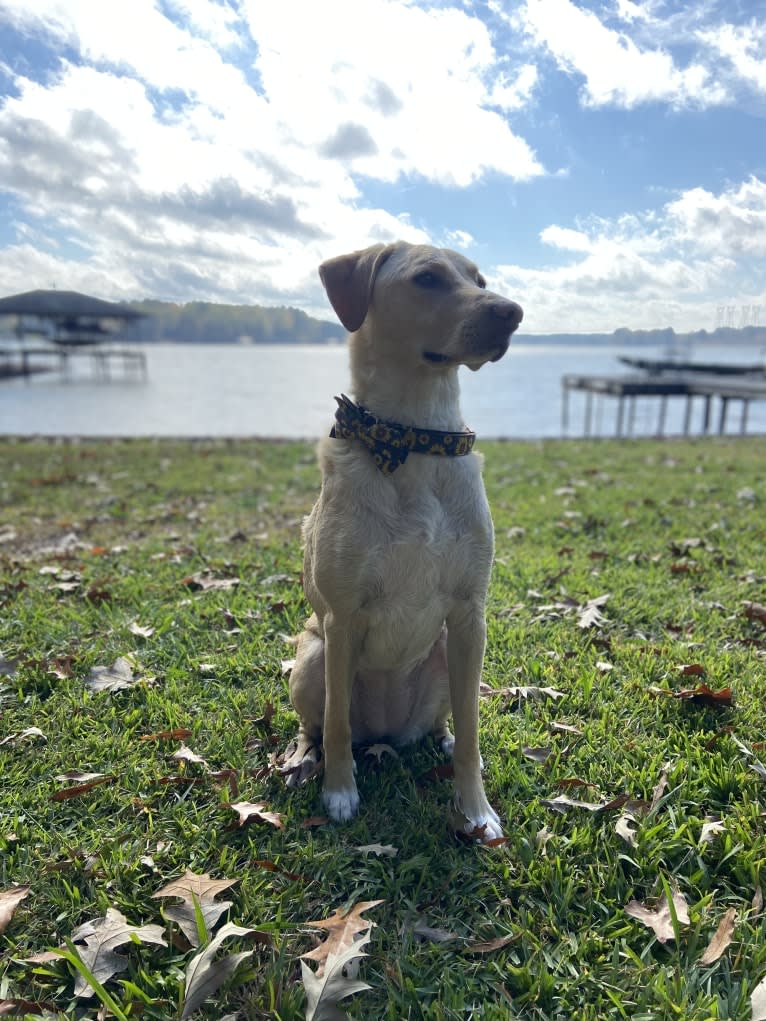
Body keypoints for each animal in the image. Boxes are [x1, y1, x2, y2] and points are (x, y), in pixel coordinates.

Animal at [283, 238, 527, 837]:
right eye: (428, 279)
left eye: (479, 281)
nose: (511, 312)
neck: (416, 438)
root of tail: (387, 734)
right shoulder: (342, 619)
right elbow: (336, 726)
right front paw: (339, 792)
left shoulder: (469, 614)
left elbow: (473, 729)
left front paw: (476, 810)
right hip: (314, 655)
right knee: (320, 725)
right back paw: (305, 759)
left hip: (444, 653)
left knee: (447, 721)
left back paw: (440, 739)